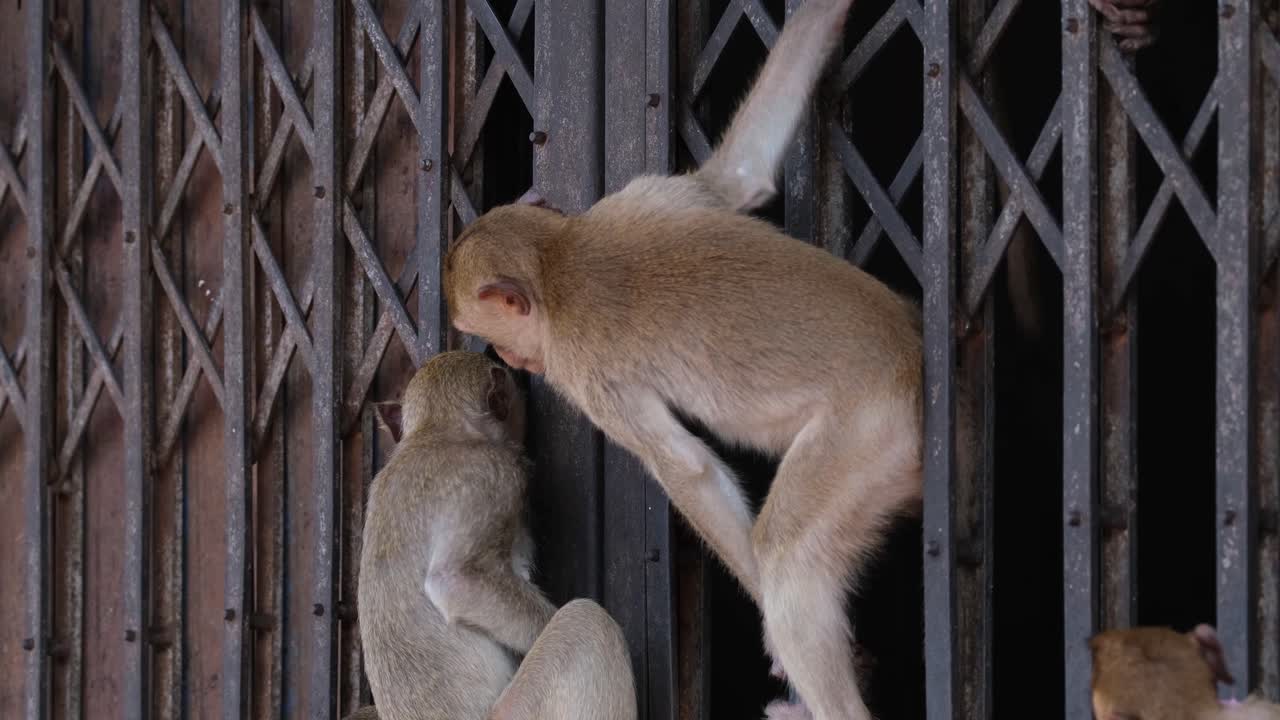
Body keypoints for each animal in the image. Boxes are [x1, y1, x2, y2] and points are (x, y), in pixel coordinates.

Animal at [442, 1, 938, 718]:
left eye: (498, 339)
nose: (513, 358)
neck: (559, 259)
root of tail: (909, 355)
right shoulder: (649, 193)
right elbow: (738, 174)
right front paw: (825, 15)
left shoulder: (585, 375)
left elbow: (690, 470)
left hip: (871, 437)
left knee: (787, 554)